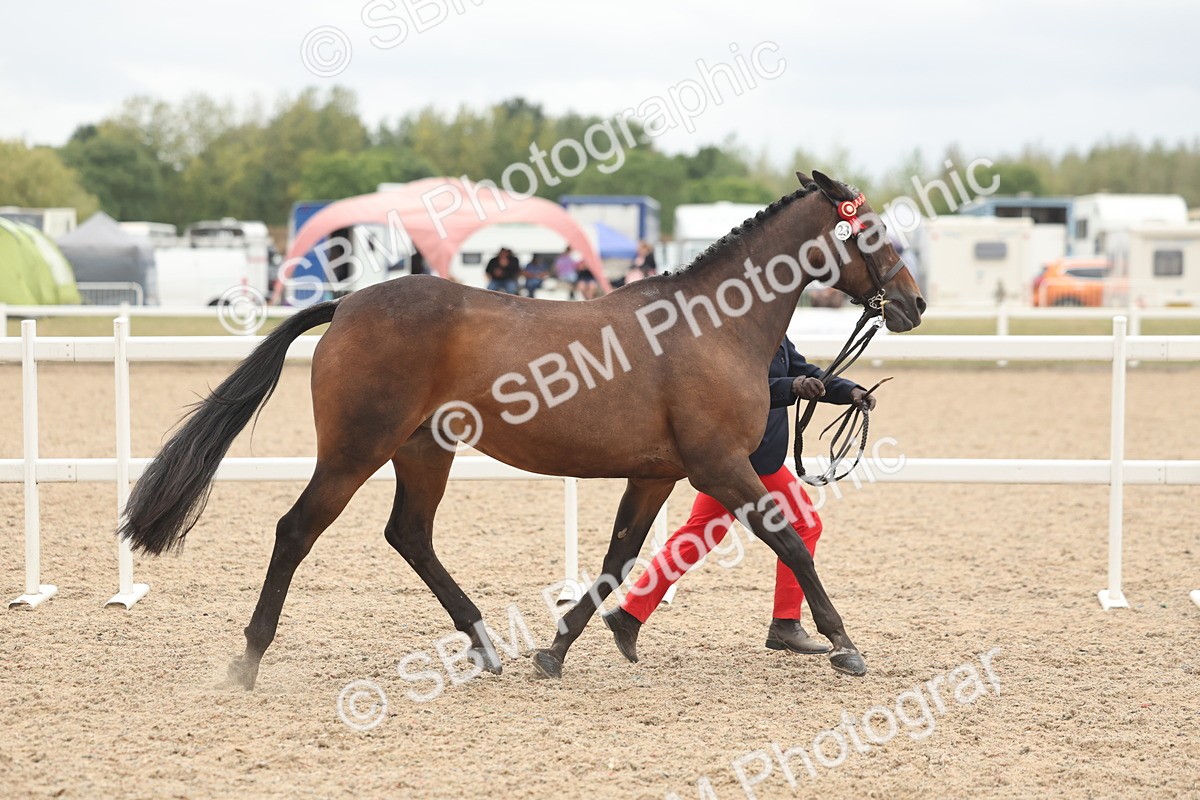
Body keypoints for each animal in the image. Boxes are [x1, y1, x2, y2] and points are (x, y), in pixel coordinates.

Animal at [120, 171, 925, 689]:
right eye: (871, 229)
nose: (913, 303)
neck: (712, 327)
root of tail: (346, 304)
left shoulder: (657, 472)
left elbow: (618, 558)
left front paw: (558, 651)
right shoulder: (718, 464)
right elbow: (789, 541)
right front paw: (844, 644)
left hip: (423, 450)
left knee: (409, 534)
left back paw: (485, 645)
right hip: (355, 451)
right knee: (296, 532)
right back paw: (248, 662)